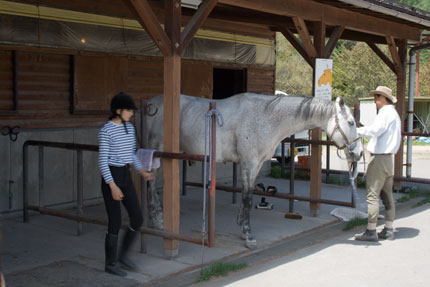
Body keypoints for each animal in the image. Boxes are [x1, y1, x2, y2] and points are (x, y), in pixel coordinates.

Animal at [144, 93, 362, 250]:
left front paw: (242, 228)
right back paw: (158, 221)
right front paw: (248, 236)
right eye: (351, 123)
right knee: (152, 183)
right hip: (157, 153)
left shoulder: (255, 165)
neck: (267, 118)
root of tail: (151, 104)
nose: (358, 153)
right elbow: (248, 198)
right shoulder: (249, 163)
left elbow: (246, 196)